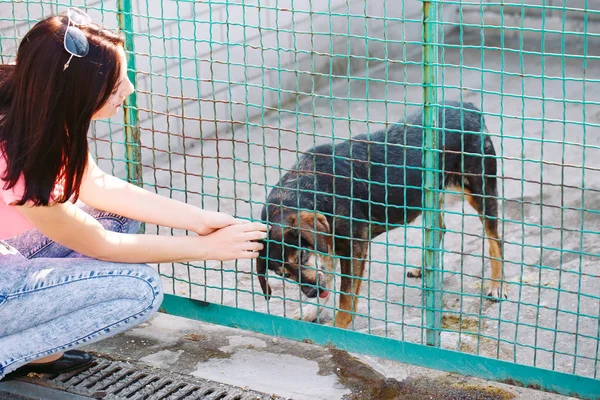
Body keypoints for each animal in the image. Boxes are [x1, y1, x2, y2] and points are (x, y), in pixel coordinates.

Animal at [255, 100, 504, 328]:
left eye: (302, 256)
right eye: (283, 274)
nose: (311, 292)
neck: (309, 186)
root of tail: (468, 106)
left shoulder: (354, 247)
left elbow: (346, 296)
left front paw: (339, 326)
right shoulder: (327, 243)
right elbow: (328, 276)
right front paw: (311, 310)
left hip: (480, 189)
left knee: (495, 240)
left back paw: (497, 285)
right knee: (440, 228)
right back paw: (424, 267)